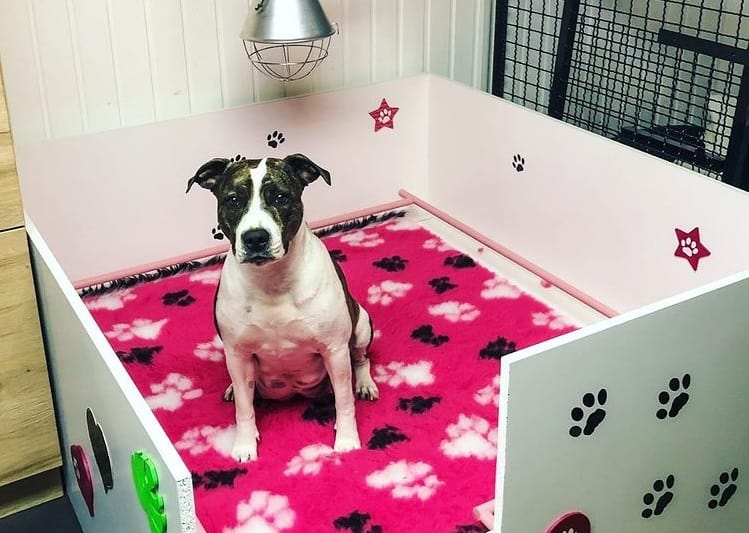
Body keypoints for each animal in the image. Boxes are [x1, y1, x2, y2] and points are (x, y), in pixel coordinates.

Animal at [185, 152, 376, 460]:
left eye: (280, 197)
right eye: (233, 200)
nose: (255, 238)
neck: (271, 280)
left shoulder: (335, 350)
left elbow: (344, 401)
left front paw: (347, 440)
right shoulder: (238, 354)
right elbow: (243, 408)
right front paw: (244, 445)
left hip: (361, 326)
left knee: (361, 360)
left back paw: (365, 384)